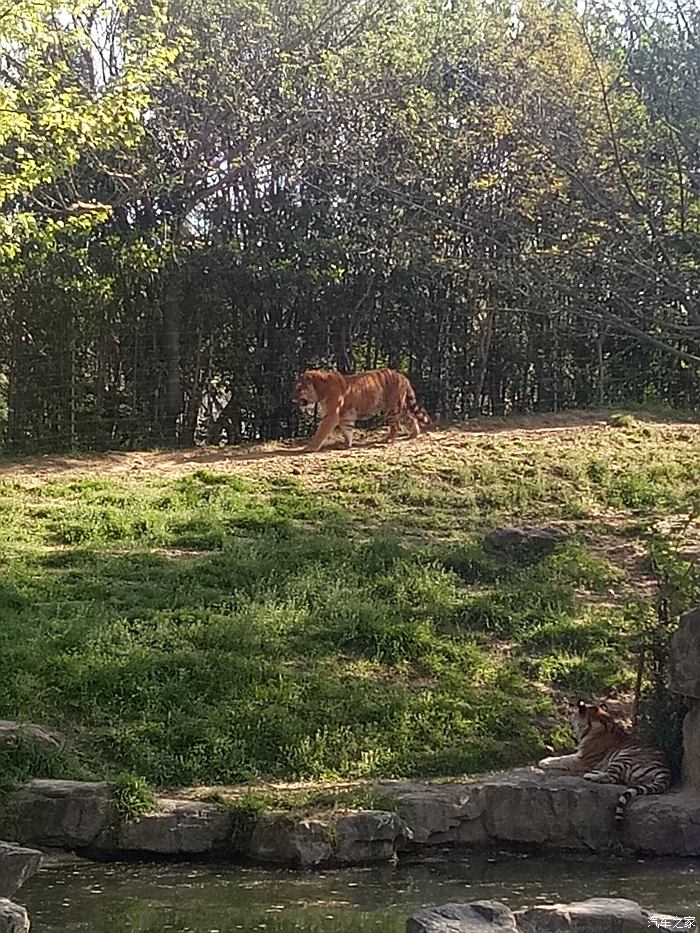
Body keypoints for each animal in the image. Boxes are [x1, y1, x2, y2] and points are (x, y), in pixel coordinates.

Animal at [292, 364, 434, 452]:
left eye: (298, 388)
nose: (292, 398)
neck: (320, 390)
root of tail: (402, 376)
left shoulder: (331, 415)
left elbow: (321, 432)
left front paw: (311, 447)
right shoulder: (346, 415)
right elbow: (347, 430)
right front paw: (346, 445)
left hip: (392, 409)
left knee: (396, 426)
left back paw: (388, 439)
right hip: (401, 407)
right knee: (411, 418)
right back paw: (414, 434)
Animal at [540, 700, 668, 824]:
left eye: (572, 714)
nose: (569, 722)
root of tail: (665, 771)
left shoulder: (582, 760)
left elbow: (562, 759)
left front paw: (544, 762)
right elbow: (564, 757)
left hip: (623, 756)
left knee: (612, 777)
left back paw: (590, 775)